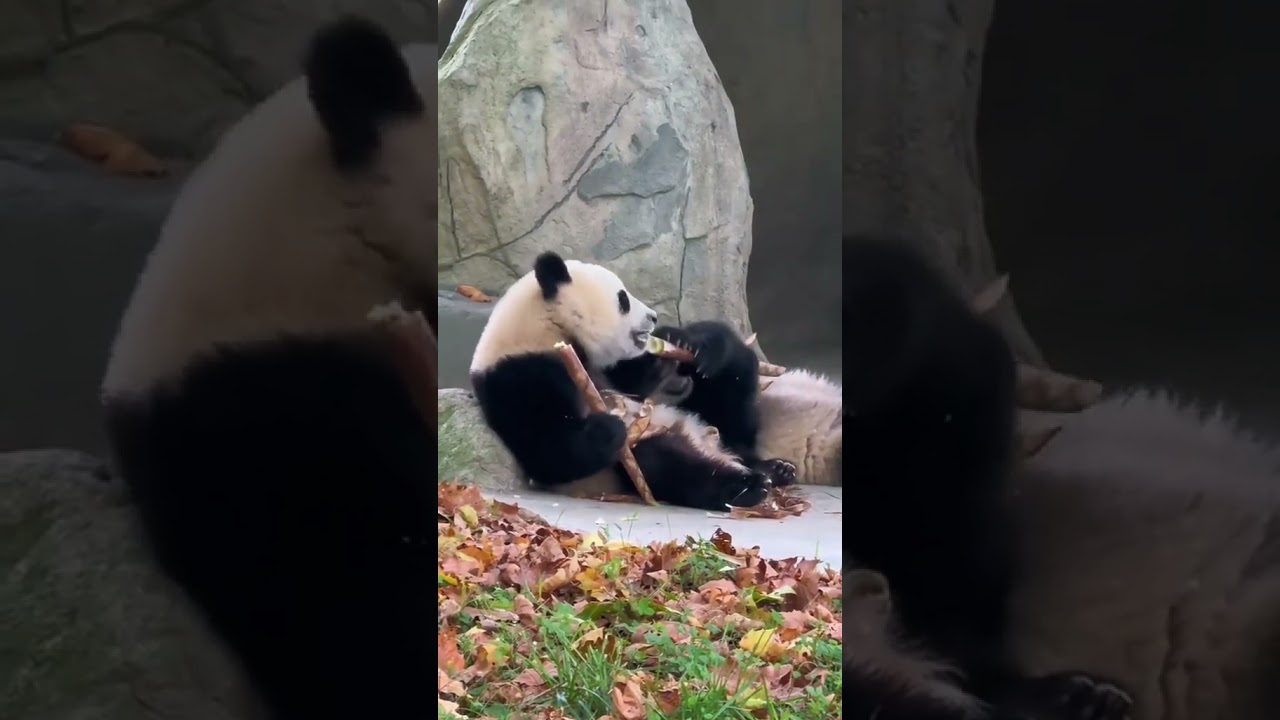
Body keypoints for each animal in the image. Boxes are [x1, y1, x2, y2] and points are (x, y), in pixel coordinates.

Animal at [467, 252, 799, 511]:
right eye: (623, 299)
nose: (653, 316)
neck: (547, 328)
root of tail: (714, 445)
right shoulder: (519, 375)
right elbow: (548, 447)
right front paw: (608, 428)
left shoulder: (610, 367)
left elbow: (639, 378)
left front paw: (685, 342)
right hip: (640, 455)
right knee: (668, 464)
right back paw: (748, 485)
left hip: (713, 415)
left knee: (734, 382)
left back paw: (774, 467)